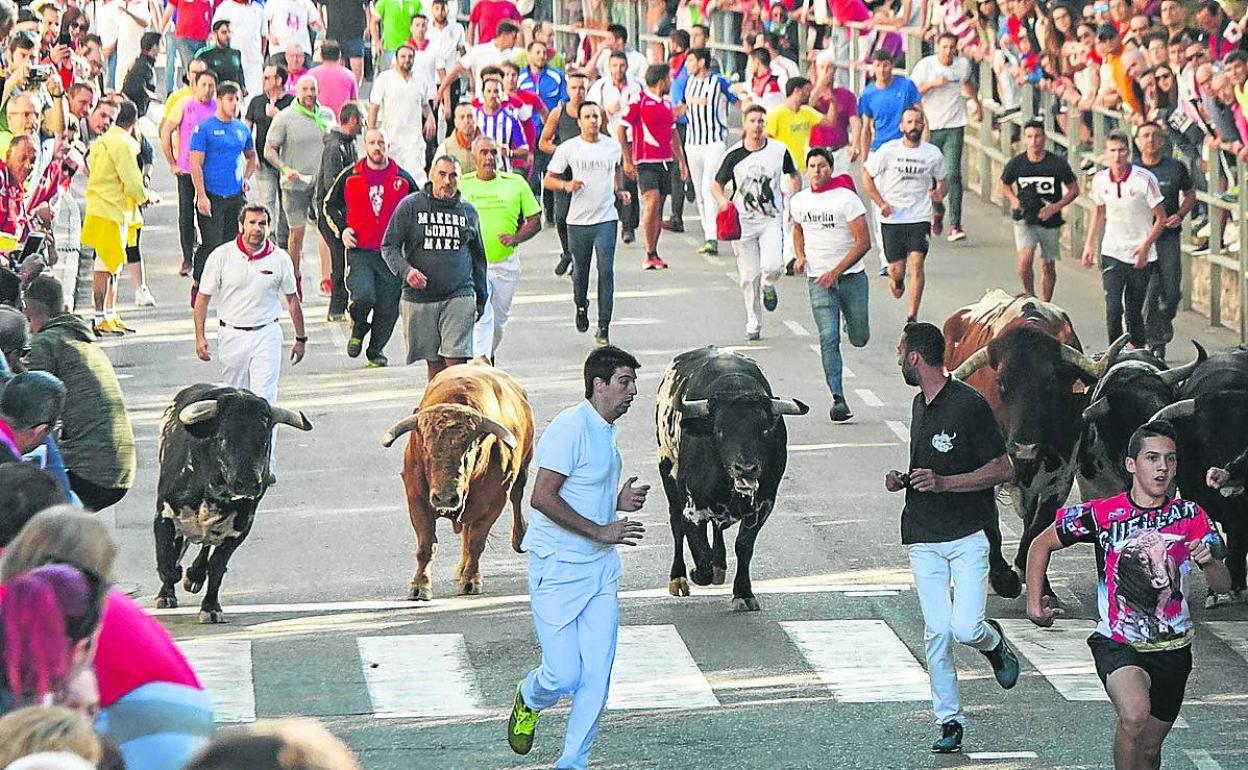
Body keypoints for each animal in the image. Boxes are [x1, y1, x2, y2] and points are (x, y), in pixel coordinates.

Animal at [154, 381, 312, 621]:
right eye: (223, 438)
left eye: (264, 441)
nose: (247, 483)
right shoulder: (163, 516)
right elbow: (167, 561)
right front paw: (167, 593)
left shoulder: (240, 529)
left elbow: (217, 567)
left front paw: (210, 607)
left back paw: (194, 576)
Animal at [379, 361, 536, 601]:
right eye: (425, 446)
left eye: (470, 448)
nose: (445, 497)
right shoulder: (417, 499)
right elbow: (426, 545)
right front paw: (419, 586)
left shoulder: (494, 501)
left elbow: (476, 541)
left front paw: (471, 580)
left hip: (522, 471)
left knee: (516, 499)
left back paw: (518, 540)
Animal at [653, 344, 808, 609]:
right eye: (719, 430)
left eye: (764, 429)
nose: (745, 468)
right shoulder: (691, 509)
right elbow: (699, 550)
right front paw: (698, 574)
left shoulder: (764, 505)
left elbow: (743, 546)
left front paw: (743, 593)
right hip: (667, 470)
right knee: (676, 525)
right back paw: (679, 578)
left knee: (717, 528)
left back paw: (719, 566)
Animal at [938, 288, 1128, 594]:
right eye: (1001, 383)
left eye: (1050, 382)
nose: (1024, 447)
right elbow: (990, 525)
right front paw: (1002, 578)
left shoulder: (1061, 474)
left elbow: (1040, 525)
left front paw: (1036, 580)